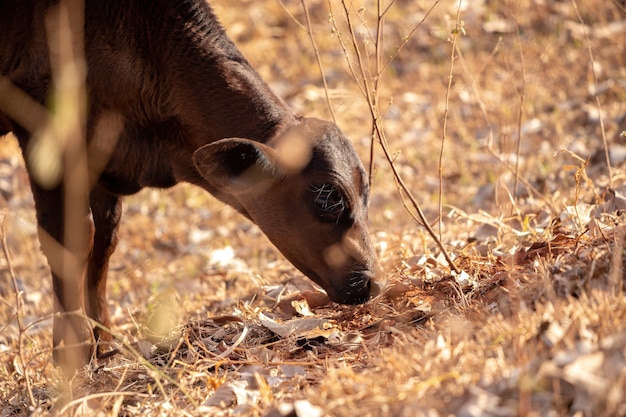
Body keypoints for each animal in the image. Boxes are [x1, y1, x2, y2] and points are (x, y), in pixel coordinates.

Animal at [0, 0, 376, 374]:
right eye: (327, 196)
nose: (374, 281)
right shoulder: (41, 131)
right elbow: (68, 240)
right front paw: (71, 354)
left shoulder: (104, 158)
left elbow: (105, 241)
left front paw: (103, 344)